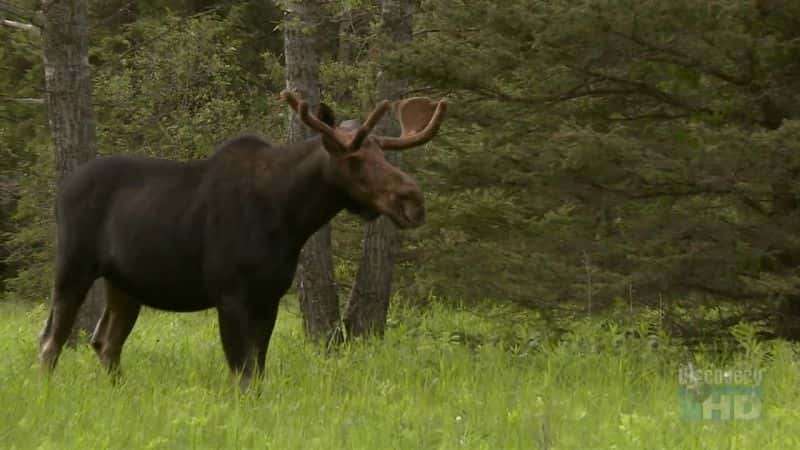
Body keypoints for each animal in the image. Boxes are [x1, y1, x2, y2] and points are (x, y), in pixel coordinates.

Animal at [37, 89, 446, 384]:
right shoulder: (229, 293)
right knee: (50, 341)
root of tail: (59, 193)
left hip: (125, 284)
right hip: (73, 266)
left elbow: (258, 371)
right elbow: (242, 373)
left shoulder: (270, 295)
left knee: (106, 342)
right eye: (355, 160)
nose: (413, 200)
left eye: (383, 155)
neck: (290, 219)